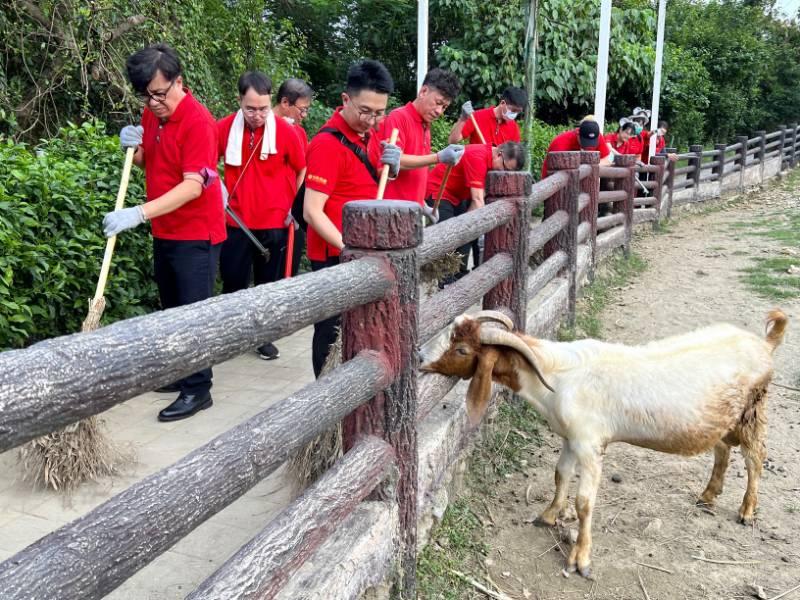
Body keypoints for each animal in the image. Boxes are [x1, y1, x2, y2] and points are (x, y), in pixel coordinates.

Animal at [422, 310, 792, 576]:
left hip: (752, 410)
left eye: (461, 349)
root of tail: (765, 344)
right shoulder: (571, 438)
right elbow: (560, 475)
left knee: (755, 457)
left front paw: (580, 560)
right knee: (722, 448)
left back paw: (746, 510)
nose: (423, 359)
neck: (557, 376)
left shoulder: (590, 445)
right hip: (723, 417)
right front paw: (548, 515)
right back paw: (708, 495)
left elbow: (585, 502)